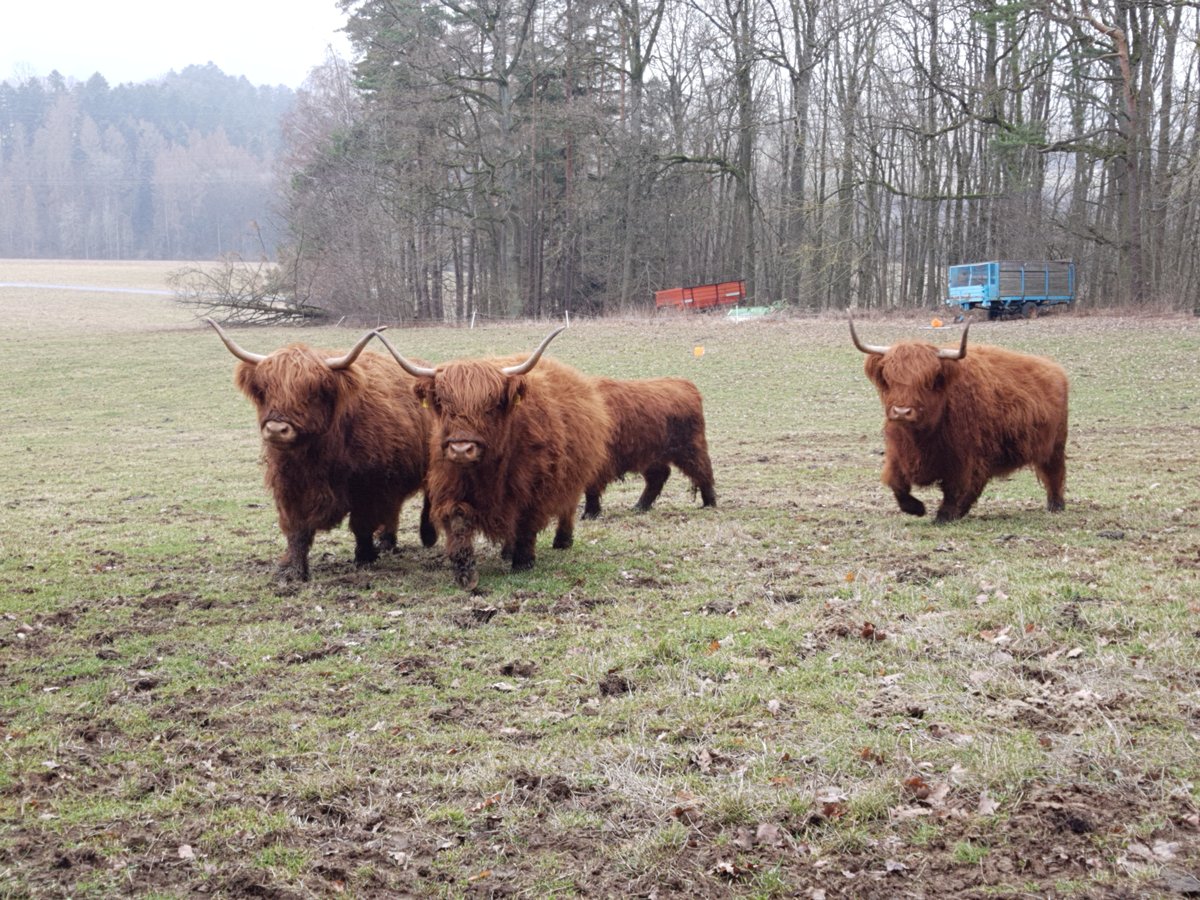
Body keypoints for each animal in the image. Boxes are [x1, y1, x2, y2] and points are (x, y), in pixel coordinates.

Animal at [207, 319, 436, 582]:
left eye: (311, 391)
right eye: (264, 390)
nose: (276, 429)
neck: (314, 456)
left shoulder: (369, 486)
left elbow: (362, 524)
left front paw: (364, 557)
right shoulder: (288, 485)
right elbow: (296, 529)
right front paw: (293, 570)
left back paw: (427, 535)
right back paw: (387, 542)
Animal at [373, 327, 612, 591]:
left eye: (491, 406)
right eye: (444, 405)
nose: (461, 449)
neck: (487, 470)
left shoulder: (535, 489)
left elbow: (526, 522)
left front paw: (523, 561)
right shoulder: (450, 484)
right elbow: (458, 521)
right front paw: (465, 572)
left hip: (573, 475)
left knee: (567, 506)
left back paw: (562, 540)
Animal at [582, 376, 717, 518]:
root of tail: (685, 383)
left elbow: (592, 488)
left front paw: (590, 513)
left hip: (689, 450)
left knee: (702, 471)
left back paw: (709, 503)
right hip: (650, 456)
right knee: (658, 477)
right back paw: (640, 506)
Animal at [850, 318, 1068, 522]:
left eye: (928, 381)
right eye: (888, 378)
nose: (902, 412)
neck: (921, 437)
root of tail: (1055, 369)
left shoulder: (964, 459)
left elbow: (955, 489)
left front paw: (943, 516)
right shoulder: (897, 453)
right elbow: (896, 484)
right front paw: (916, 508)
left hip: (1054, 446)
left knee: (1054, 474)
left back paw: (1056, 505)